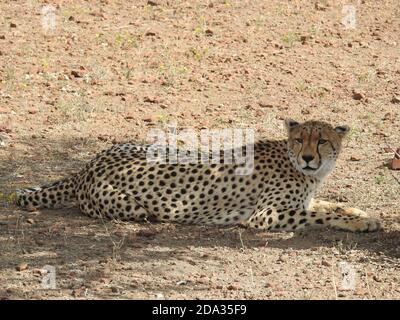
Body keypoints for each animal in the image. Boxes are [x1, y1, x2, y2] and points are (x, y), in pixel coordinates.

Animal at [16, 120, 382, 232]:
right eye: (299, 139)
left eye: (321, 141)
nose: (307, 158)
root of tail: (86, 167)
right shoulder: (265, 215)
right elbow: (321, 215)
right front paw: (361, 223)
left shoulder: (301, 201)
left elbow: (328, 204)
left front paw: (361, 213)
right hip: (133, 206)